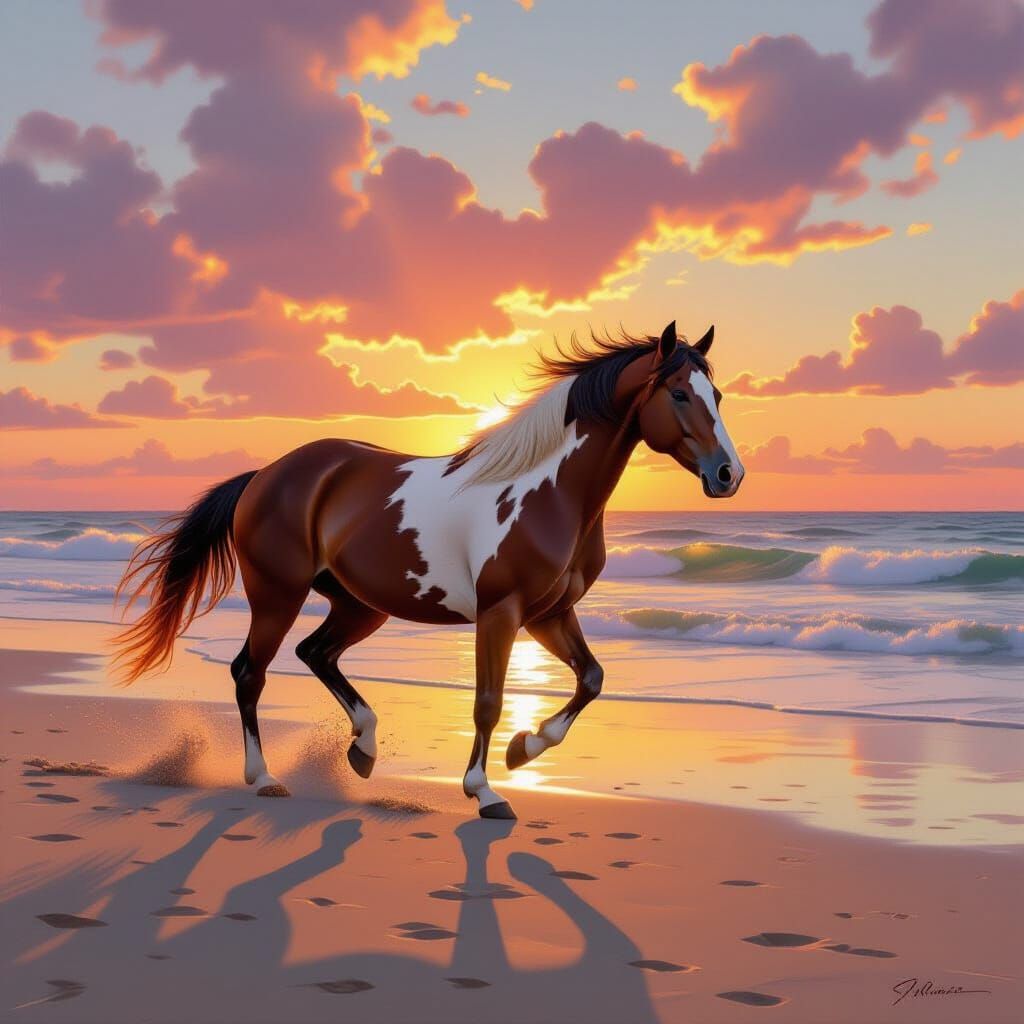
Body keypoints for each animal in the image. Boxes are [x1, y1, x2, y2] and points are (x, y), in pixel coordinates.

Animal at [114, 321, 744, 819]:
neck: (551, 494)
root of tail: (266, 474)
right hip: (278, 594)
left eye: (717, 395)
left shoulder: (549, 613)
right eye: (680, 395)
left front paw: (524, 748)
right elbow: (487, 700)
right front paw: (486, 792)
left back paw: (363, 749)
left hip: (360, 604)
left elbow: (591, 678)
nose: (728, 475)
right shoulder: (501, 612)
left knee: (315, 653)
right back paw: (266, 778)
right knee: (251, 672)